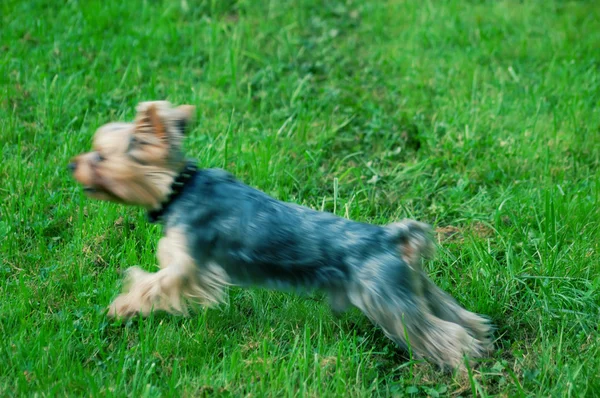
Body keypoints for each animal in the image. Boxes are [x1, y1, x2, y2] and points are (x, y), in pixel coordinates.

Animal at [69, 101, 492, 368]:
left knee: (436, 332)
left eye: (101, 157)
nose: (73, 163)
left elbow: (152, 284)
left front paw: (121, 307)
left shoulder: (190, 263)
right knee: (451, 311)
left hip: (385, 298)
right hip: (411, 287)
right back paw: (481, 335)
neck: (179, 187)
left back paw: (461, 359)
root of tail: (391, 237)